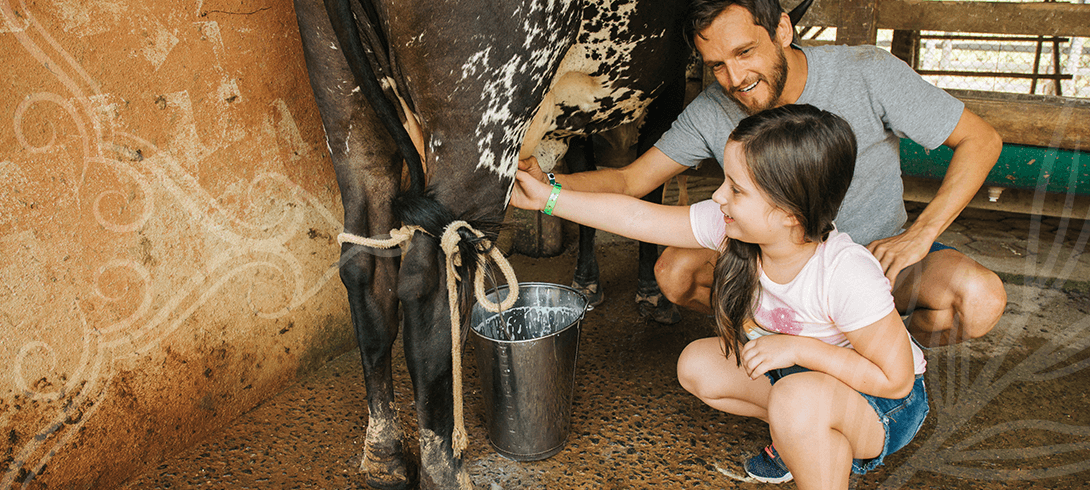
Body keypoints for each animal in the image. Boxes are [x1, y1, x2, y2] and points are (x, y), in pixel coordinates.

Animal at [294, 1, 806, 487]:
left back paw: (384, 456)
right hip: (483, 118)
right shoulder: (670, 78)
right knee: (427, 288)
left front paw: (587, 281)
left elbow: (591, 181)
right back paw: (445, 469)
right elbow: (647, 187)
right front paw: (651, 295)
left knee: (363, 268)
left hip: (346, 110)